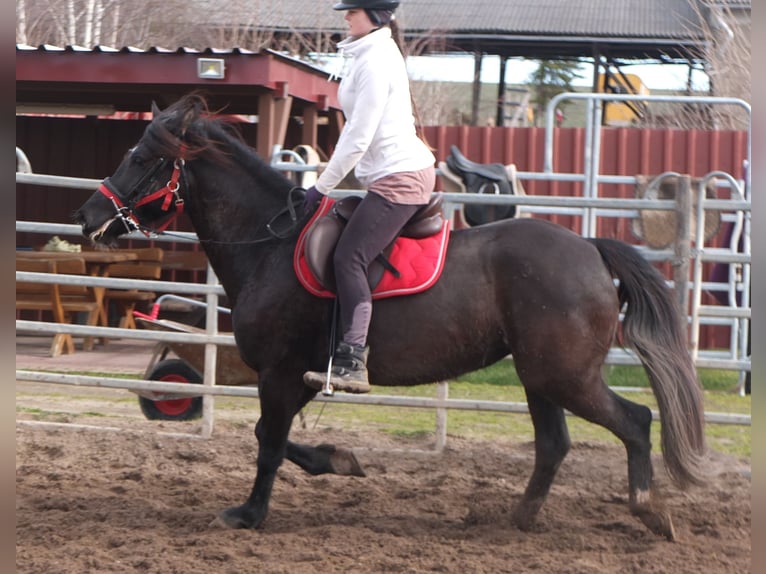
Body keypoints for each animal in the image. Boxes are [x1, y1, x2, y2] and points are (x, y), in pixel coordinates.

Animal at [73, 93, 708, 540]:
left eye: (141, 157)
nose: (87, 216)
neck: (271, 244)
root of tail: (589, 250)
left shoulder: (281, 373)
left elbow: (268, 442)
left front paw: (250, 513)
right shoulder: (299, 377)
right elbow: (276, 439)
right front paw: (340, 460)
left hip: (565, 375)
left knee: (635, 422)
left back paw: (650, 511)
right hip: (541, 377)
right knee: (554, 444)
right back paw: (519, 519)